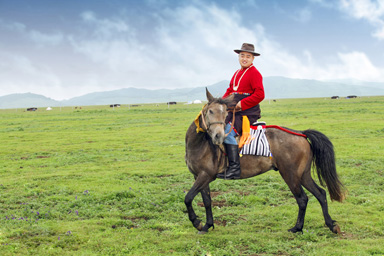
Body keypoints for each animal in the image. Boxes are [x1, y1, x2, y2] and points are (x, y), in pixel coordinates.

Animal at [184, 89, 344, 234]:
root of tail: (301, 134)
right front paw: (206, 225)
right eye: (210, 111)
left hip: (291, 175)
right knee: (320, 194)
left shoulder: (206, 175)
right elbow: (207, 201)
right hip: (303, 175)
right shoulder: (199, 176)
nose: (219, 136)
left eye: (225, 114)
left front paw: (196, 222)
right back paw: (330, 225)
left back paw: (297, 228)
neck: (199, 143)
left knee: (302, 199)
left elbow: (188, 198)